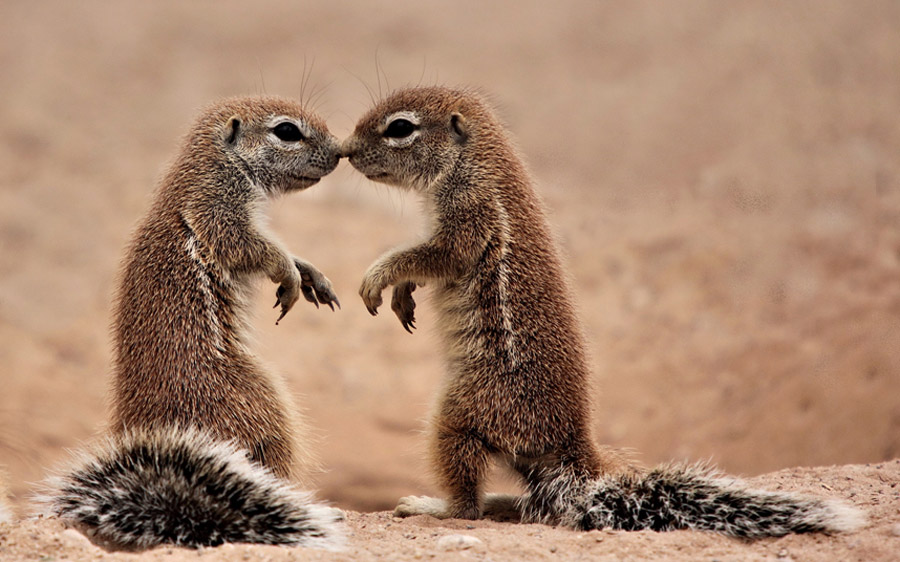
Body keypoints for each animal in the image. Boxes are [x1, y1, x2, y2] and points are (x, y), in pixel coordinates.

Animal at [38, 96, 342, 548]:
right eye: (287, 131)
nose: (341, 152)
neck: (213, 163)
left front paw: (311, 274)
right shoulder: (218, 209)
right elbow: (257, 248)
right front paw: (289, 273)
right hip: (267, 403)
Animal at [342, 85, 860, 536]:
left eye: (400, 127)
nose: (346, 150)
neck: (471, 160)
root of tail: (573, 450)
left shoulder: (471, 214)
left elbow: (434, 253)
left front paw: (379, 277)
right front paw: (401, 293)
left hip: (458, 413)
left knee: (468, 501)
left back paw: (433, 506)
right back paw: (504, 502)